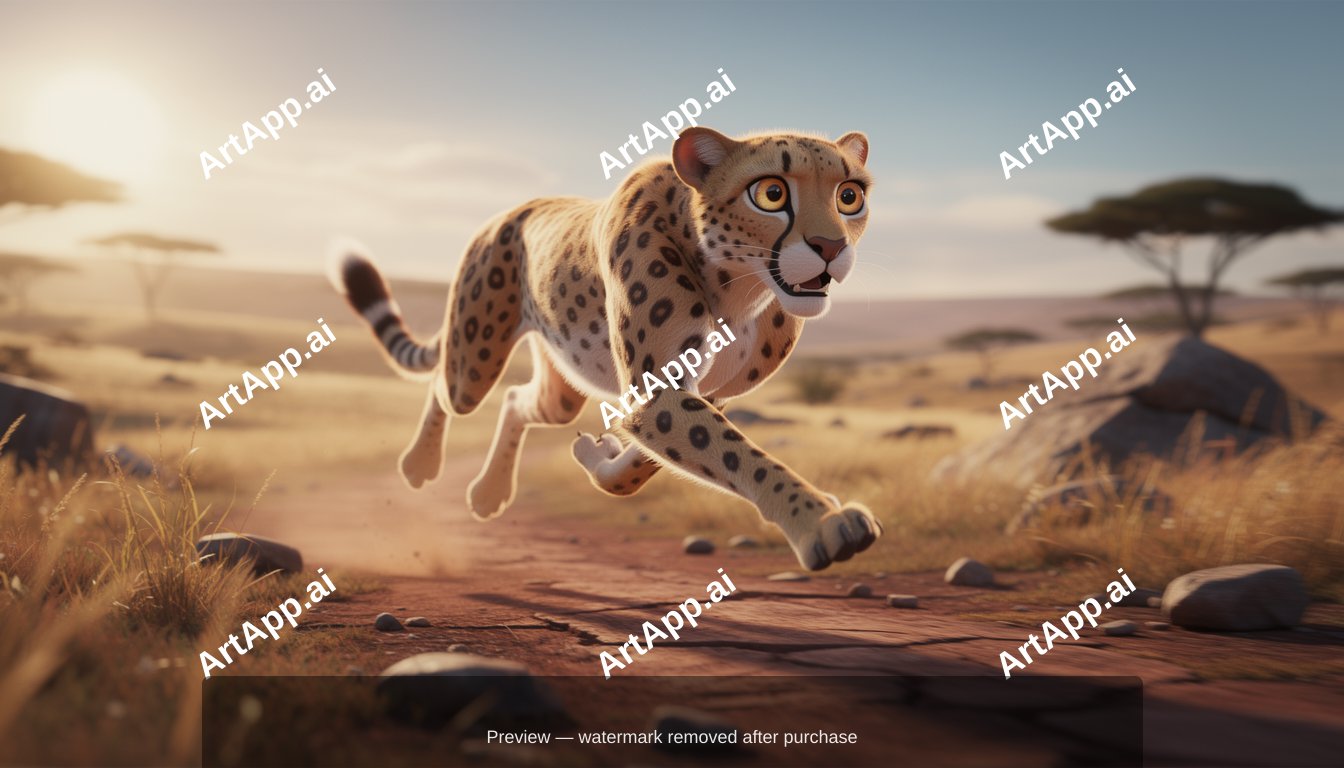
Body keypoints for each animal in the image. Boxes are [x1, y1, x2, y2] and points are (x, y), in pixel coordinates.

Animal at [330, 127, 883, 570]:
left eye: (849, 196)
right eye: (770, 193)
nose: (831, 247)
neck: (741, 289)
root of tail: (509, 210)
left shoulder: (706, 393)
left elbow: (649, 466)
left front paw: (602, 457)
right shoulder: (657, 390)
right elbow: (741, 457)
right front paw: (823, 523)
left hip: (559, 389)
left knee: (517, 400)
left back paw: (490, 492)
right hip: (474, 361)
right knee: (447, 389)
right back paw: (420, 463)